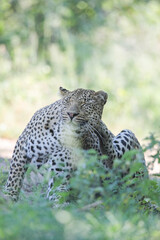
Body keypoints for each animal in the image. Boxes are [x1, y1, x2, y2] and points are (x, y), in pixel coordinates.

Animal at [4, 87, 148, 202]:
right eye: (67, 102)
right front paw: (9, 197)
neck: (59, 134)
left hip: (128, 137)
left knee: (112, 159)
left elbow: (57, 194)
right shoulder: (22, 145)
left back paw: (100, 127)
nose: (71, 114)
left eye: (85, 104)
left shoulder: (61, 171)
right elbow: (14, 176)